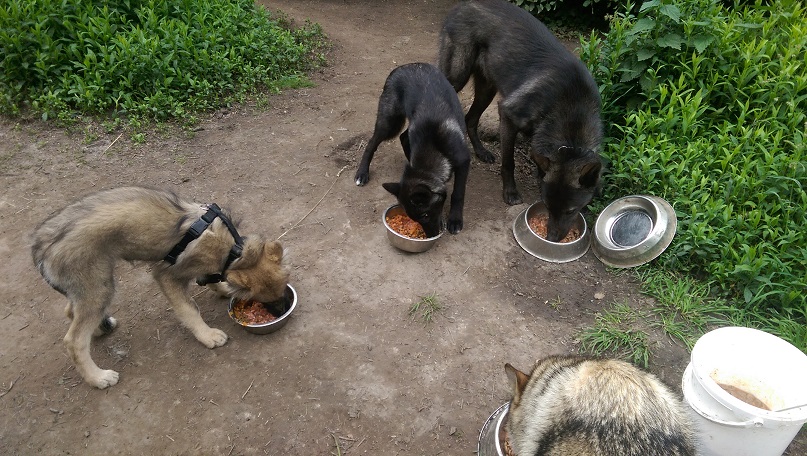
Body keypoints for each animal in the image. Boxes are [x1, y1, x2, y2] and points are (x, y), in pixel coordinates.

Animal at [32, 187, 290, 390]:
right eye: (263, 300)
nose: (281, 312)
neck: (233, 250)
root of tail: (42, 245)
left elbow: (213, 279)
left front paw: (224, 289)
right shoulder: (167, 276)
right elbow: (189, 309)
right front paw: (207, 335)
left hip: (90, 287)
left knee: (71, 312)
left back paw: (100, 329)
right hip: (100, 286)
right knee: (74, 340)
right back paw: (98, 378)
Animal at [356, 62, 474, 237]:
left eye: (425, 215)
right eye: (416, 217)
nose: (431, 236)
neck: (434, 146)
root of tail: (404, 67)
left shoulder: (463, 161)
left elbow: (458, 193)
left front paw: (455, 220)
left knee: (402, 137)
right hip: (389, 123)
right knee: (371, 144)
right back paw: (362, 173)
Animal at [438, 0, 604, 242]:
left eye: (571, 211)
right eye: (547, 206)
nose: (552, 238)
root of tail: (464, 6)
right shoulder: (508, 116)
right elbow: (509, 162)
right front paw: (510, 192)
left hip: (487, 89)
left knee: (470, 118)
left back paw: (481, 152)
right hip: (457, 76)